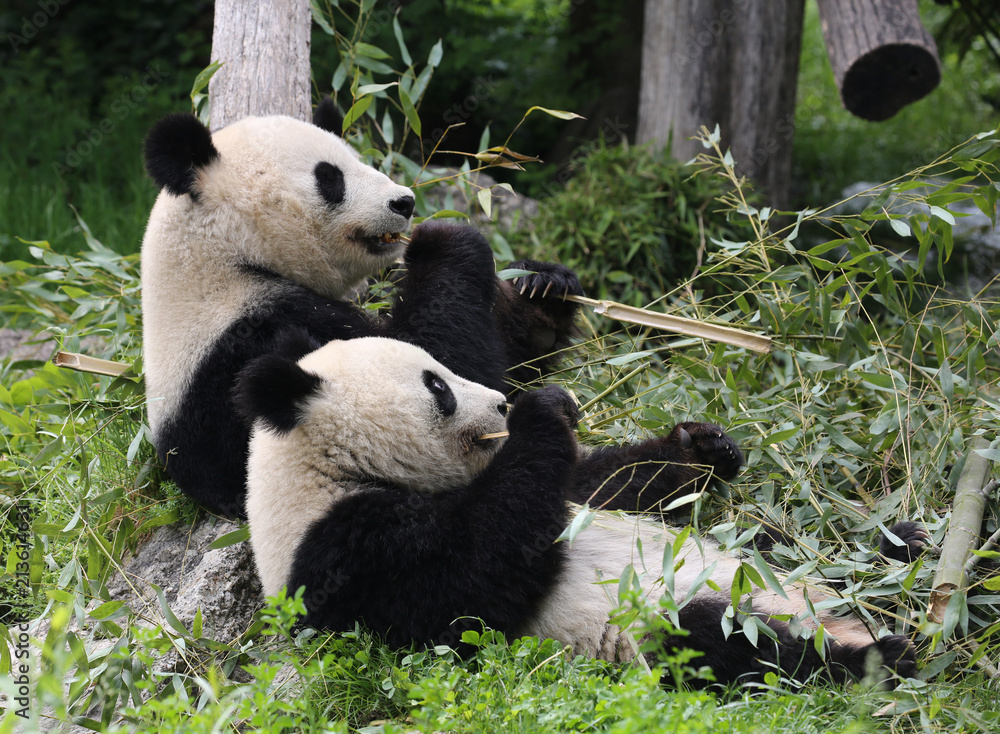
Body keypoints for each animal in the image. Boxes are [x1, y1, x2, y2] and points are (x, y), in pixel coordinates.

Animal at [140, 110, 586, 518]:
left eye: (358, 159)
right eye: (330, 177)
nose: (405, 202)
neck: (220, 257)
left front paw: (544, 288)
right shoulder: (252, 333)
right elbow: (435, 360)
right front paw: (444, 238)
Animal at [233, 335, 920, 687]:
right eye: (438, 386)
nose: (502, 404)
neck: (328, 471)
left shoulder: (576, 496)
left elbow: (605, 486)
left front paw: (703, 446)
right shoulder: (345, 554)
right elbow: (467, 586)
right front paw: (541, 411)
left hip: (783, 558)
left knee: (806, 549)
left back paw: (907, 550)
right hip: (673, 625)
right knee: (728, 643)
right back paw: (879, 655)